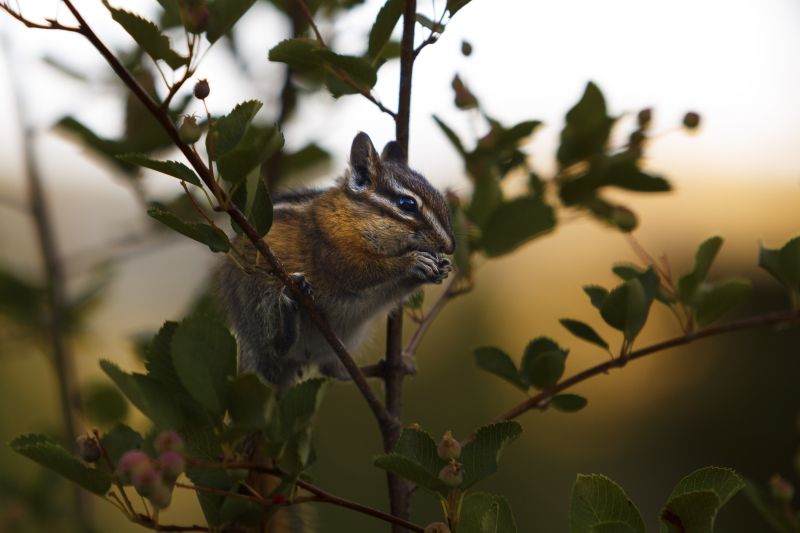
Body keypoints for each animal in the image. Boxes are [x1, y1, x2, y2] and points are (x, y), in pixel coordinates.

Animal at [218, 132, 455, 389]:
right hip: (258, 301)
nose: (450, 246)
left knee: (335, 372)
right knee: (276, 346)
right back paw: (290, 309)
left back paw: (395, 366)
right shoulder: (335, 250)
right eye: (407, 204)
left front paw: (441, 268)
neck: (353, 217)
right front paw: (413, 262)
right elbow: (363, 270)